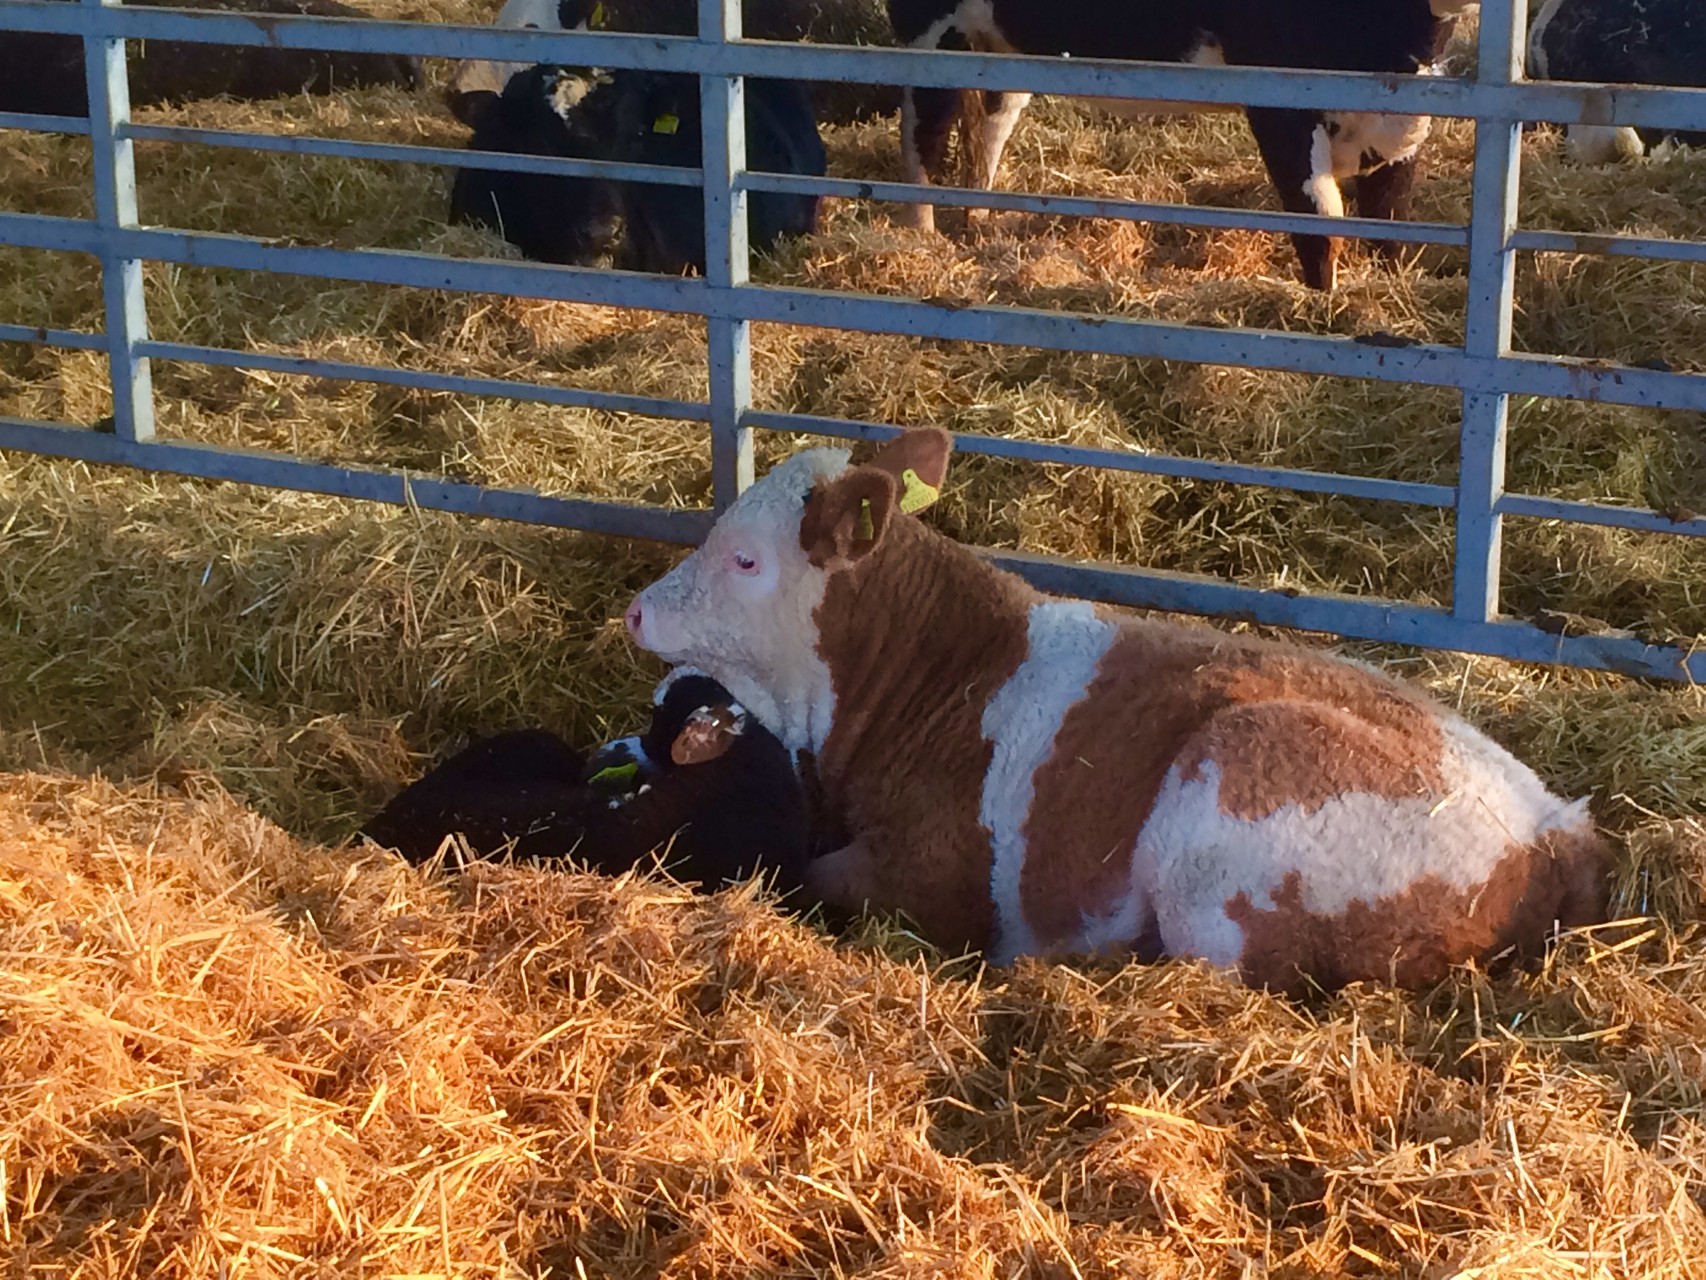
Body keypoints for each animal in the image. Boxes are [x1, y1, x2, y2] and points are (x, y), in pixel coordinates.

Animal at [627, 428, 1610, 989]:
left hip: (1227, 851)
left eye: (746, 559)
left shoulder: (931, 875)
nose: (637, 609)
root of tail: (1553, 831)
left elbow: (811, 876)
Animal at [887, 0, 1473, 291]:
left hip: (1003, 49)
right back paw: (921, 239)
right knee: (923, 135)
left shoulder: (1398, 121)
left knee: (988, 127)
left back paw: (979, 225)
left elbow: (1389, 226)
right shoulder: (1278, 102)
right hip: (932, 33)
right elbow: (1320, 227)